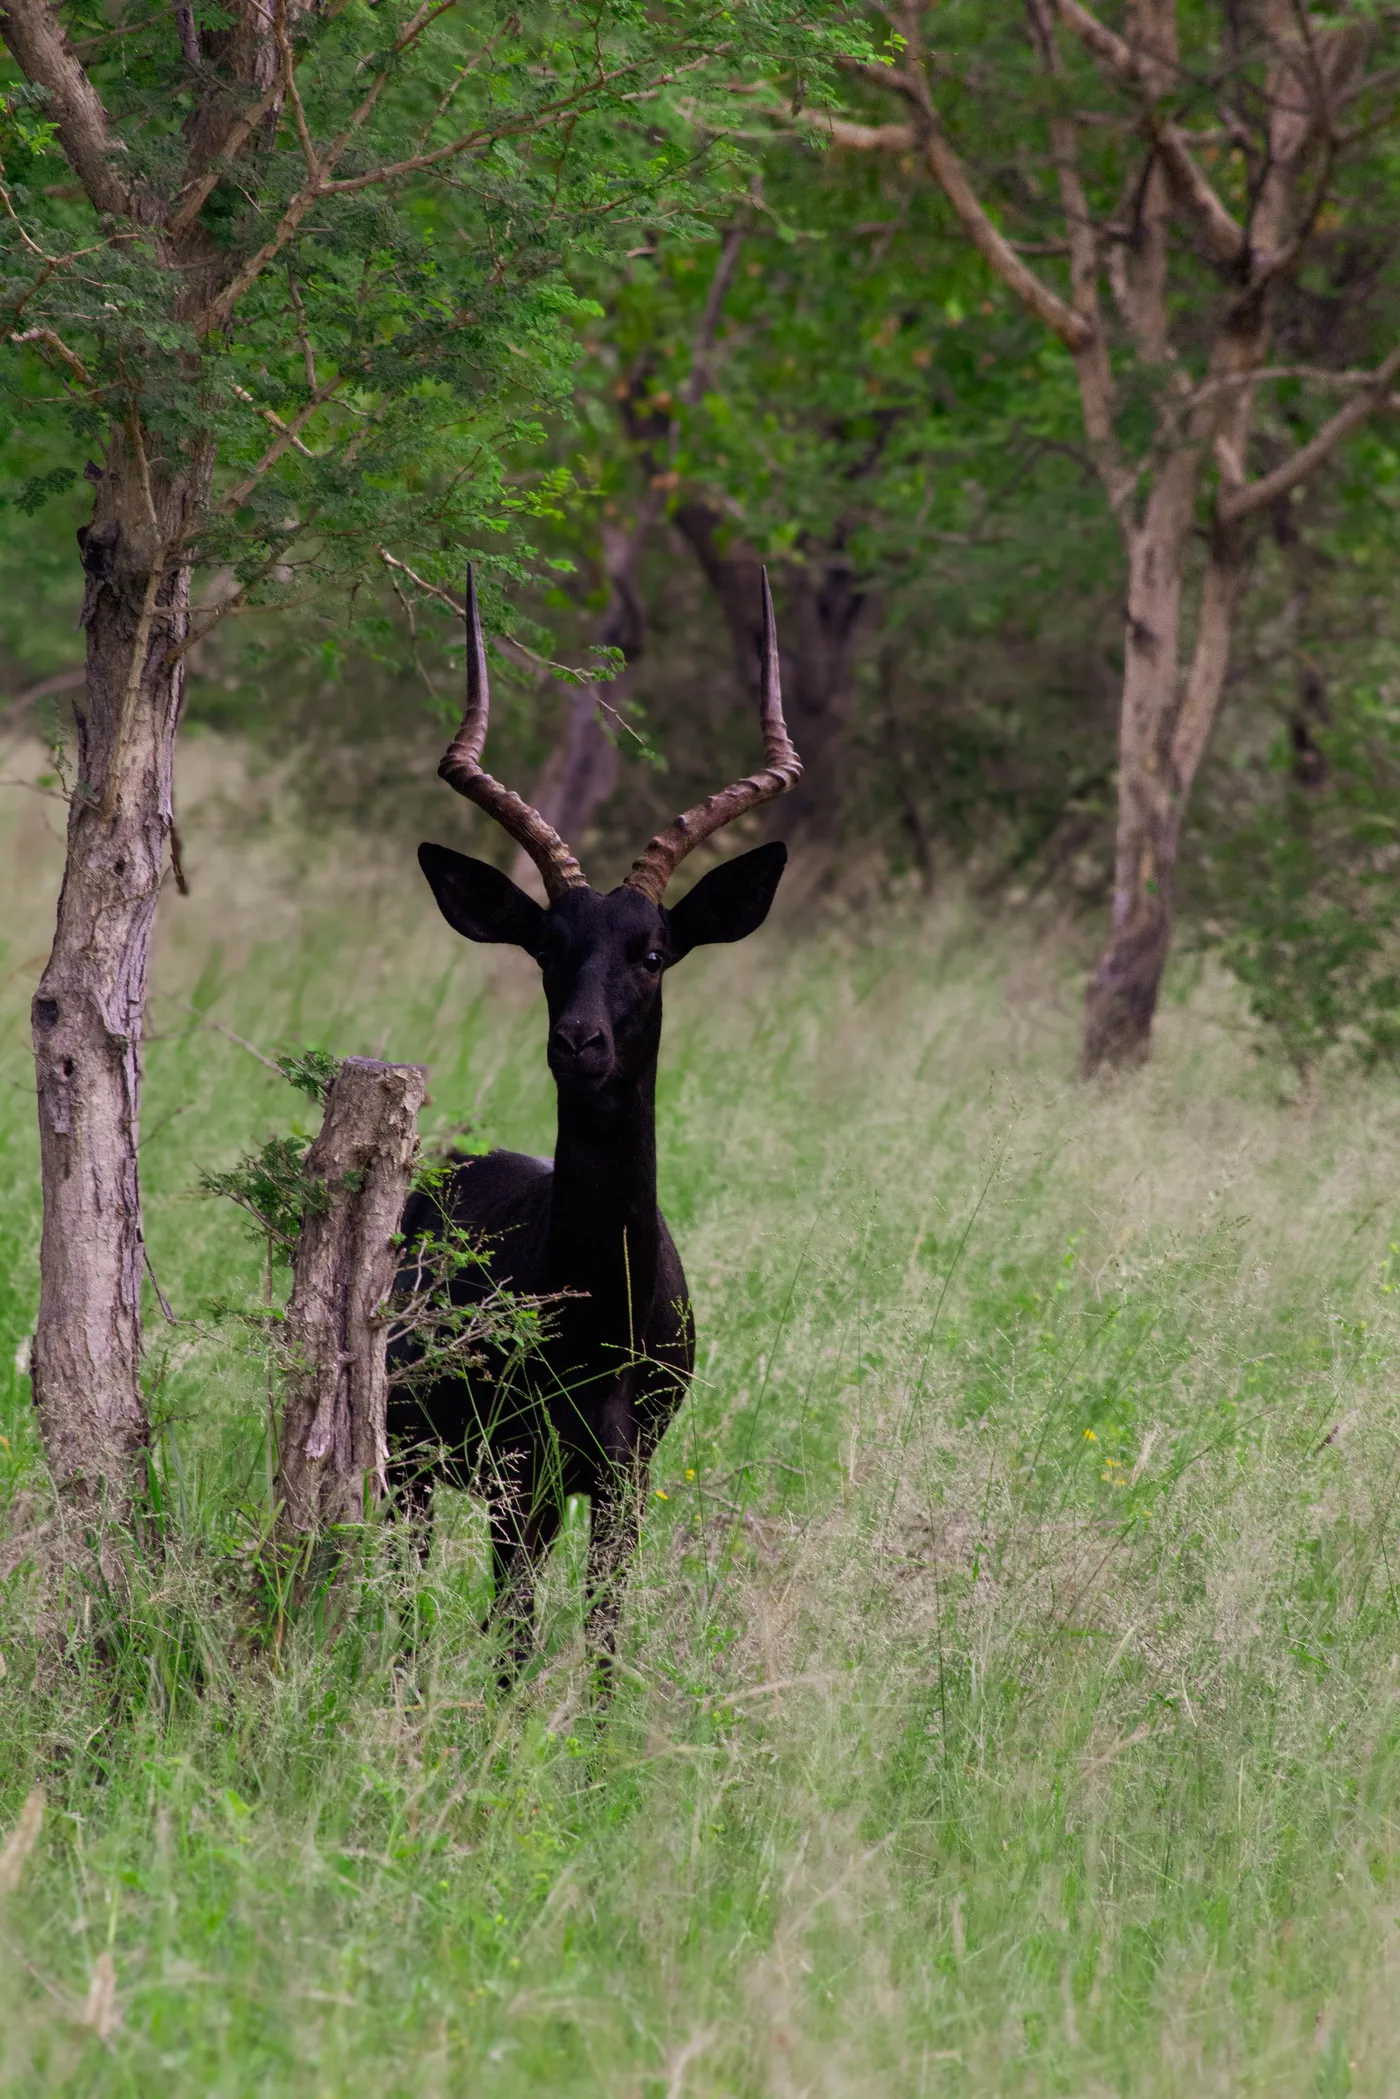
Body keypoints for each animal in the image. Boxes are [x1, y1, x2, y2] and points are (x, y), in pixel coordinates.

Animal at [388, 568, 801, 1673]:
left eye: (652, 950)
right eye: (545, 945)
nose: (580, 1043)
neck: (599, 1315)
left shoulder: (623, 1476)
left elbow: (608, 1633)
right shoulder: (518, 1473)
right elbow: (514, 1636)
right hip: (409, 1456)